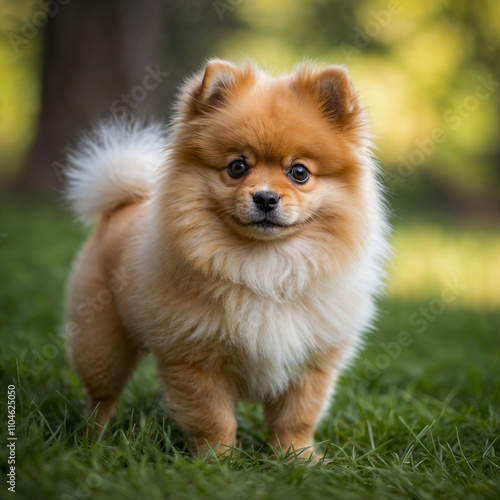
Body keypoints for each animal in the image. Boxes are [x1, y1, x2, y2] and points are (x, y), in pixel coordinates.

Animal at [63, 58, 390, 458]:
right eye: (238, 167)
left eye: (299, 172)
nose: (265, 197)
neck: (266, 264)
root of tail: (122, 204)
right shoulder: (196, 360)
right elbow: (213, 419)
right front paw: (217, 460)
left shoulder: (311, 362)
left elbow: (296, 419)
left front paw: (299, 459)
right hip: (102, 345)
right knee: (102, 396)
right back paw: (94, 440)